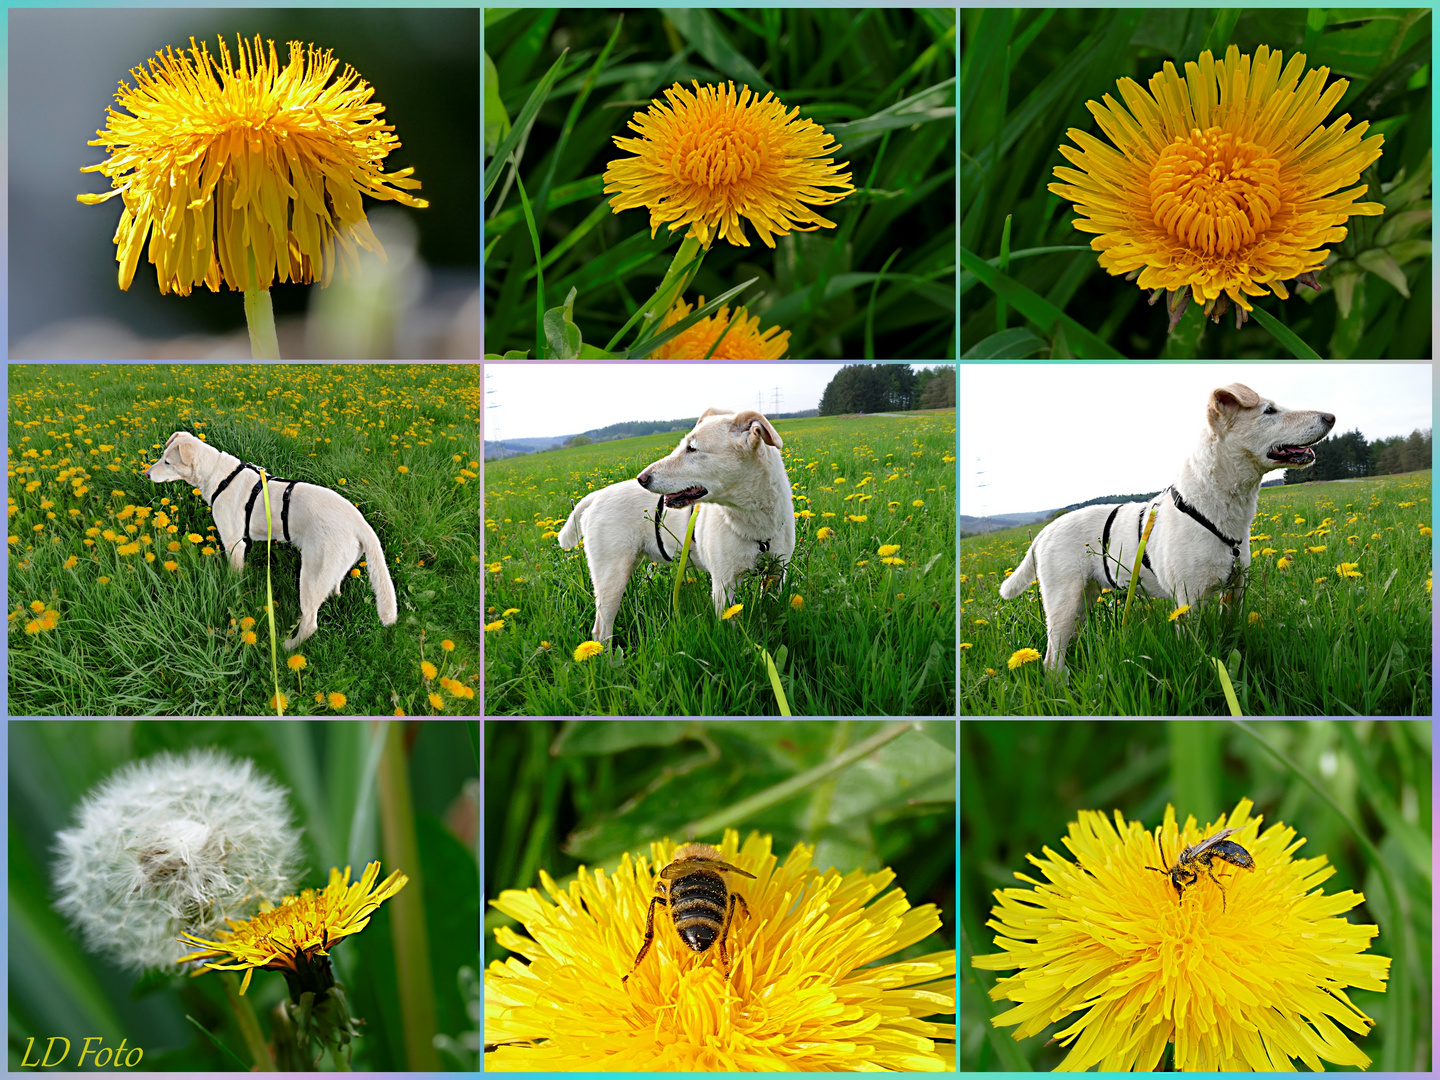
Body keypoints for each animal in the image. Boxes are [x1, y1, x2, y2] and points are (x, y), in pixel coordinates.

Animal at [145, 434, 397, 650]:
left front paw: (232, 591)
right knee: (334, 587)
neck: (218, 474)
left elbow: (234, 578)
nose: (146, 474)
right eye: (162, 456)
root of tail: (360, 522)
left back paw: (288, 646)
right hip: (334, 568)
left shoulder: (234, 543)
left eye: (167, 462)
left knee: (310, 623)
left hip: (311, 575)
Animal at [552, 408, 800, 642]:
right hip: (611, 577)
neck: (754, 523)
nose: (641, 478)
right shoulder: (723, 585)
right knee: (601, 630)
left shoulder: (777, 574)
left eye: (692, 448)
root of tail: (595, 496)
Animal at [996, 385, 1330, 673]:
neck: (1215, 507)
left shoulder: (1236, 589)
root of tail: (1044, 532)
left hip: (1082, 598)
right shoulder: (1188, 601)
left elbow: (1232, 633)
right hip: (1063, 600)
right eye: (1269, 411)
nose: (1331, 417)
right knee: (1051, 659)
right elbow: (1196, 652)